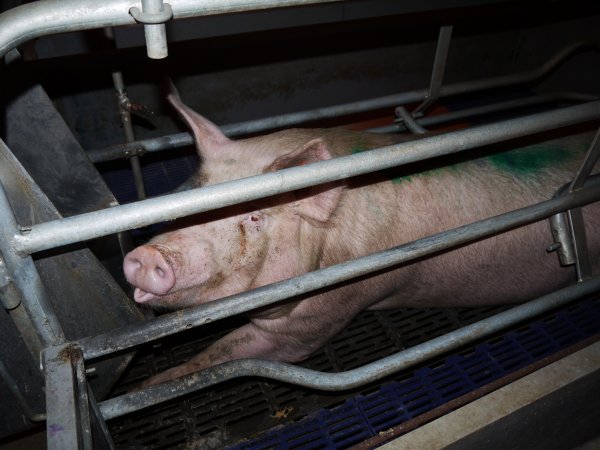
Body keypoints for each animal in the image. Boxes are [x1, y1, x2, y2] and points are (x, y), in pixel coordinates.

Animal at [123, 85, 600, 386]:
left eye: (255, 217)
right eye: (194, 194)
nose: (149, 257)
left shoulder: (320, 316)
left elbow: (227, 354)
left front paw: (150, 387)